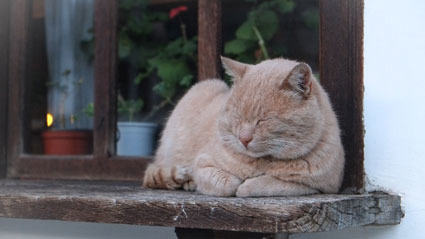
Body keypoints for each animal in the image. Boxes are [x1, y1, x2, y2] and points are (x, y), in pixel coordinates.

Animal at [143, 57, 344, 197]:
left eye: (263, 120)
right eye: (238, 116)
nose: (244, 139)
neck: (263, 161)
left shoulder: (321, 186)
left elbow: (268, 184)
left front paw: (248, 184)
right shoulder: (202, 164)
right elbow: (227, 182)